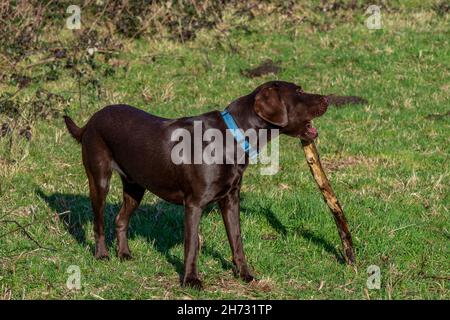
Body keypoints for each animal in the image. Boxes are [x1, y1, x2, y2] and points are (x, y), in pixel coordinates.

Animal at [63, 80, 342, 288]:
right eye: (299, 92)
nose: (328, 99)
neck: (233, 135)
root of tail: (90, 120)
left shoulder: (230, 200)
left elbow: (237, 240)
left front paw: (245, 274)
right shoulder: (194, 204)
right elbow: (192, 245)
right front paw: (191, 280)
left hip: (135, 185)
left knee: (120, 219)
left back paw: (124, 254)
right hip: (99, 179)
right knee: (99, 222)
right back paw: (102, 255)